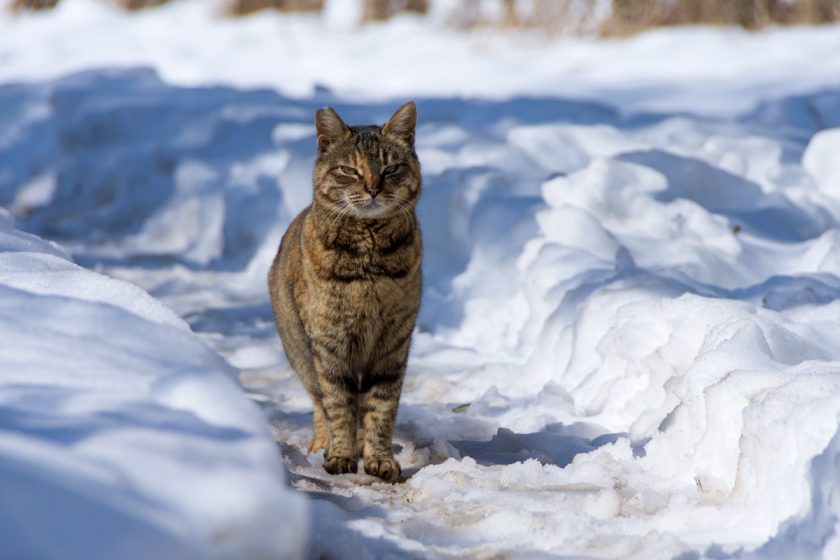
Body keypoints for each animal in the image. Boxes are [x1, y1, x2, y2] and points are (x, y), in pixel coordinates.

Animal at [270, 104, 424, 482]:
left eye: (390, 167)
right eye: (349, 169)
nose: (372, 188)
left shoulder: (392, 345)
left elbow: (381, 407)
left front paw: (379, 459)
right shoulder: (330, 343)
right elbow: (338, 405)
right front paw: (340, 454)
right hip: (301, 353)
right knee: (319, 401)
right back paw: (323, 444)